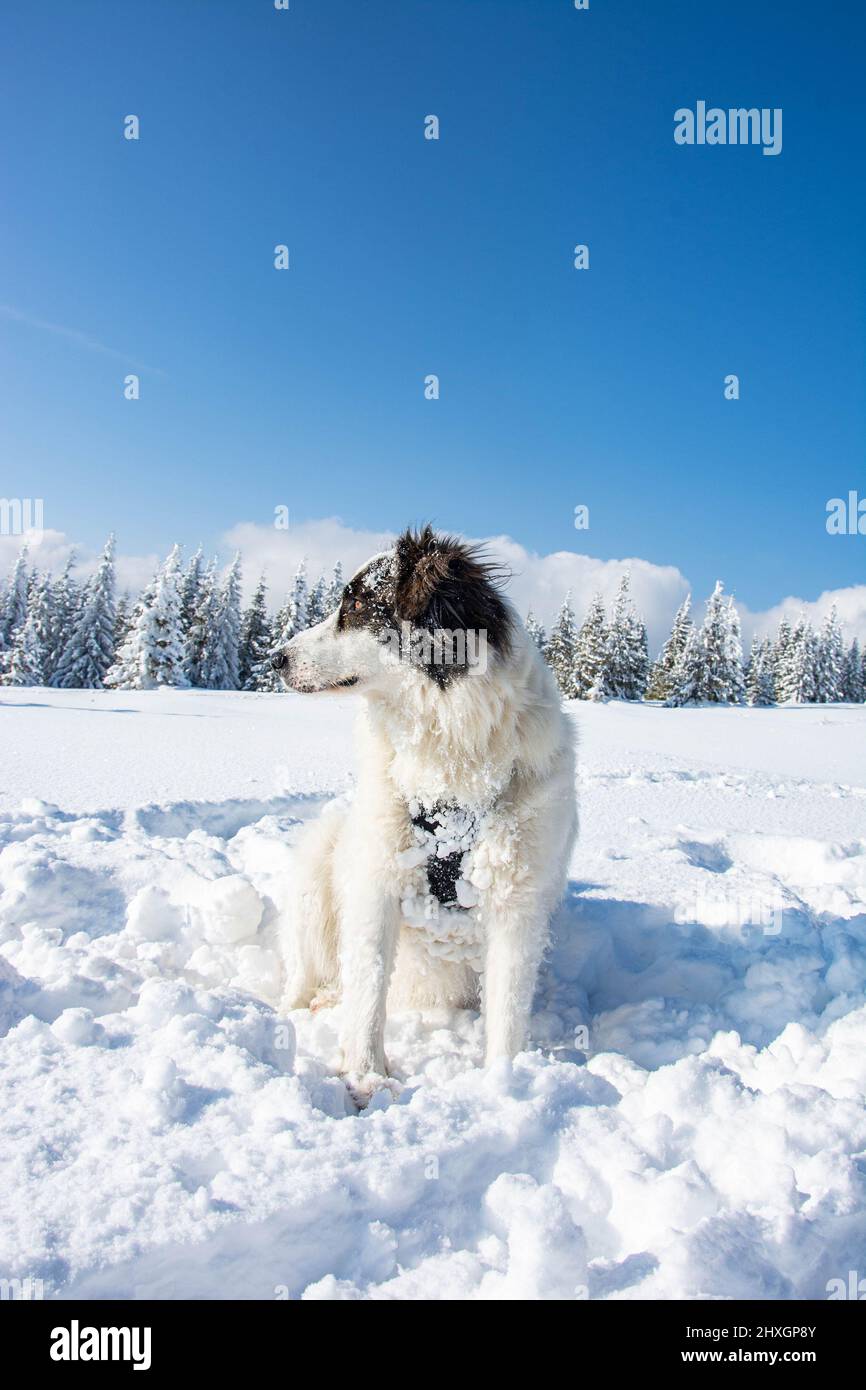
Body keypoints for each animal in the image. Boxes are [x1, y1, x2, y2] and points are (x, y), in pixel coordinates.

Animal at [273, 522, 578, 1106]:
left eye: (357, 603)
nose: (275, 658)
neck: (451, 752)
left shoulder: (517, 902)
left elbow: (507, 1013)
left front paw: (503, 1088)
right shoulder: (376, 875)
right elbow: (369, 986)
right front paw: (366, 1076)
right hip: (318, 860)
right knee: (307, 977)